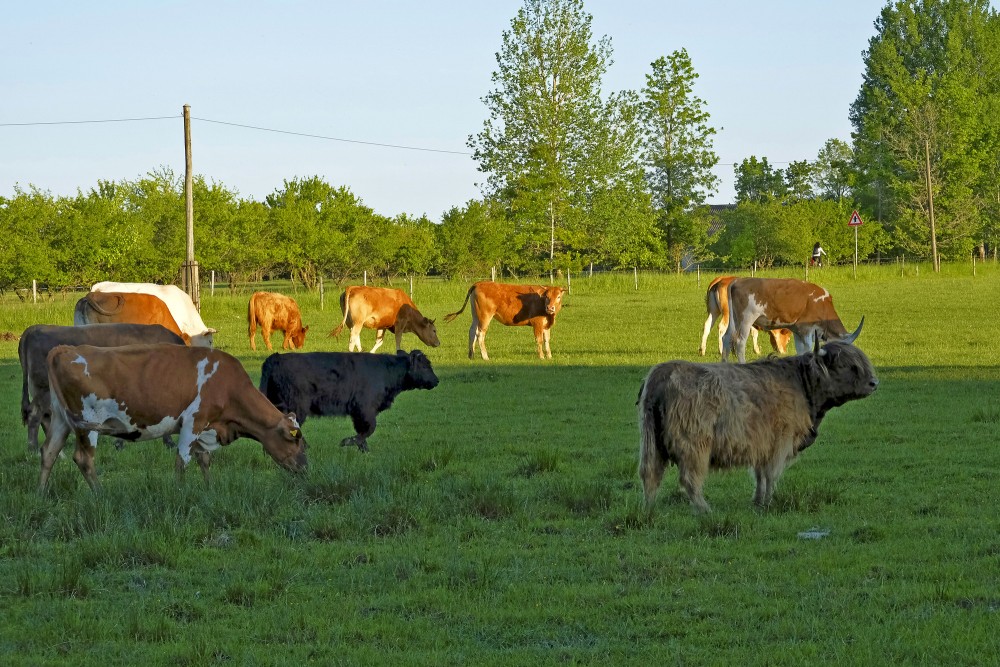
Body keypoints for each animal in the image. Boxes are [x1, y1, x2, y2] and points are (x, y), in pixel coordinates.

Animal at [19, 323, 186, 452]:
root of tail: (34, 328)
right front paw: (169, 442)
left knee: (45, 416)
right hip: (44, 389)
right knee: (35, 414)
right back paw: (33, 448)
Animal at [38, 343, 307, 493]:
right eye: (296, 440)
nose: (305, 470)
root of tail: (65, 349)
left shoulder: (205, 428)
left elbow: (204, 460)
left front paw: (209, 489)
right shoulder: (193, 421)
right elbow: (182, 461)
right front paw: (180, 491)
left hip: (61, 420)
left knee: (49, 452)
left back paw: (40, 494)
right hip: (87, 422)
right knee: (83, 459)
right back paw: (100, 494)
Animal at [259, 349, 439, 453]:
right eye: (425, 366)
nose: (436, 381)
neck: (387, 370)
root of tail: (275, 358)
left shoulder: (358, 412)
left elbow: (364, 431)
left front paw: (364, 450)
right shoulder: (365, 409)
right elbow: (369, 429)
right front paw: (348, 442)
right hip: (297, 408)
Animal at [638, 338, 878, 513]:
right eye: (847, 365)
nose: (874, 383)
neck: (801, 384)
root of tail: (662, 373)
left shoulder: (762, 444)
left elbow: (761, 476)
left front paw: (758, 502)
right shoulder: (780, 441)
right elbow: (771, 475)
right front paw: (769, 503)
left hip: (652, 443)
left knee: (650, 474)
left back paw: (650, 509)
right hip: (694, 444)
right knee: (689, 478)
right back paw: (705, 510)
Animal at [722, 277, 864, 363]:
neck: (822, 304)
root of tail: (738, 280)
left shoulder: (798, 331)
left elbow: (801, 351)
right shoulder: (807, 329)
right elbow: (808, 349)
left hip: (734, 321)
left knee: (726, 338)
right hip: (746, 319)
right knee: (740, 342)